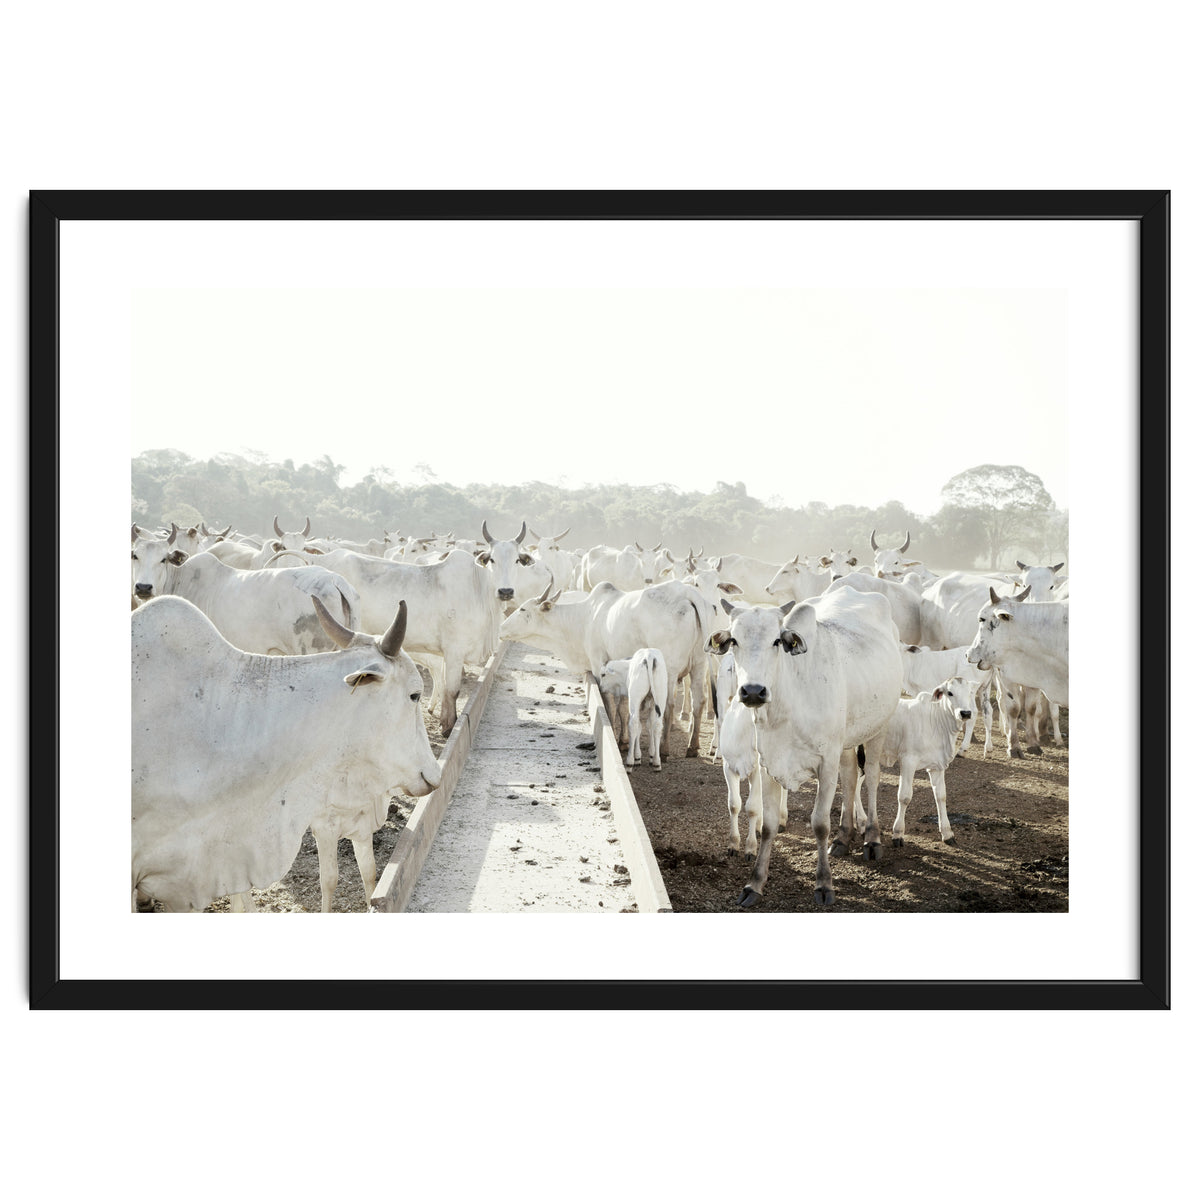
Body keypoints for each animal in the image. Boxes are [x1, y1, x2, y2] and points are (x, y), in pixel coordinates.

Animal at [499, 580, 709, 757]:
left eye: (523, 609)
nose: (501, 628)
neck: (584, 618)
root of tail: (686, 592)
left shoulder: (599, 664)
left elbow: (609, 703)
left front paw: (615, 736)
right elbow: (624, 707)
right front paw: (624, 740)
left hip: (669, 670)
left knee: (669, 705)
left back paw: (664, 749)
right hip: (699, 664)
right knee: (699, 701)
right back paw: (693, 746)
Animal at [708, 587, 902, 906]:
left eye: (777, 640)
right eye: (734, 640)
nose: (752, 691)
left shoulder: (826, 762)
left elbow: (820, 823)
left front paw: (824, 884)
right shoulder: (768, 763)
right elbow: (767, 825)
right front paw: (754, 884)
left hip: (879, 726)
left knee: (872, 777)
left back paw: (872, 839)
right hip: (845, 741)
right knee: (851, 777)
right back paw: (843, 836)